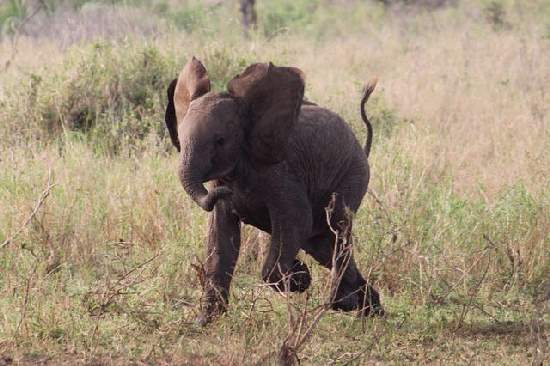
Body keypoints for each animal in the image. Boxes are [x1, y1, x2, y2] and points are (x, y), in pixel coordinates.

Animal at [165, 58, 384, 326]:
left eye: (220, 141)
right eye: (181, 138)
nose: (226, 192)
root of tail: (361, 147)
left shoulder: (281, 174)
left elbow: (296, 219)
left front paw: (301, 278)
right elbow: (221, 236)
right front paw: (204, 324)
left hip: (351, 175)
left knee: (337, 226)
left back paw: (344, 304)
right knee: (324, 245)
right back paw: (370, 311)